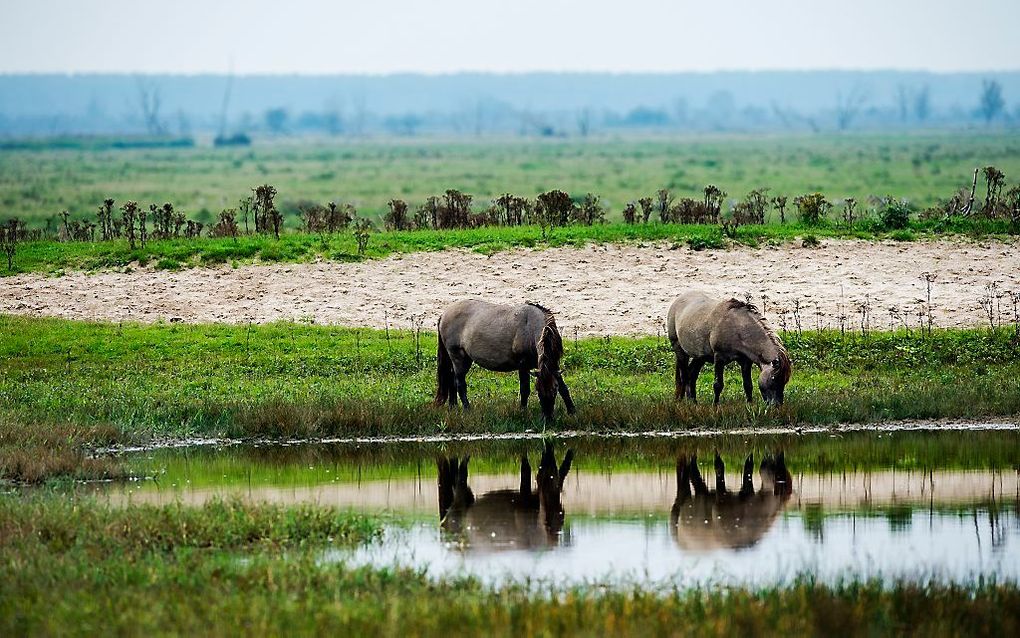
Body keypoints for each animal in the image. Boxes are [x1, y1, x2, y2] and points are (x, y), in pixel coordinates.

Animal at [432, 298, 575, 418]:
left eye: (554, 391)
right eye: (539, 392)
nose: (548, 418)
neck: (530, 327)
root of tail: (444, 314)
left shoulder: (553, 366)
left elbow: (563, 388)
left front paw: (572, 411)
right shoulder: (523, 365)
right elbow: (524, 389)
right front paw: (523, 411)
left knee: (451, 380)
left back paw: (453, 407)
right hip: (458, 358)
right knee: (460, 384)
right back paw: (467, 409)